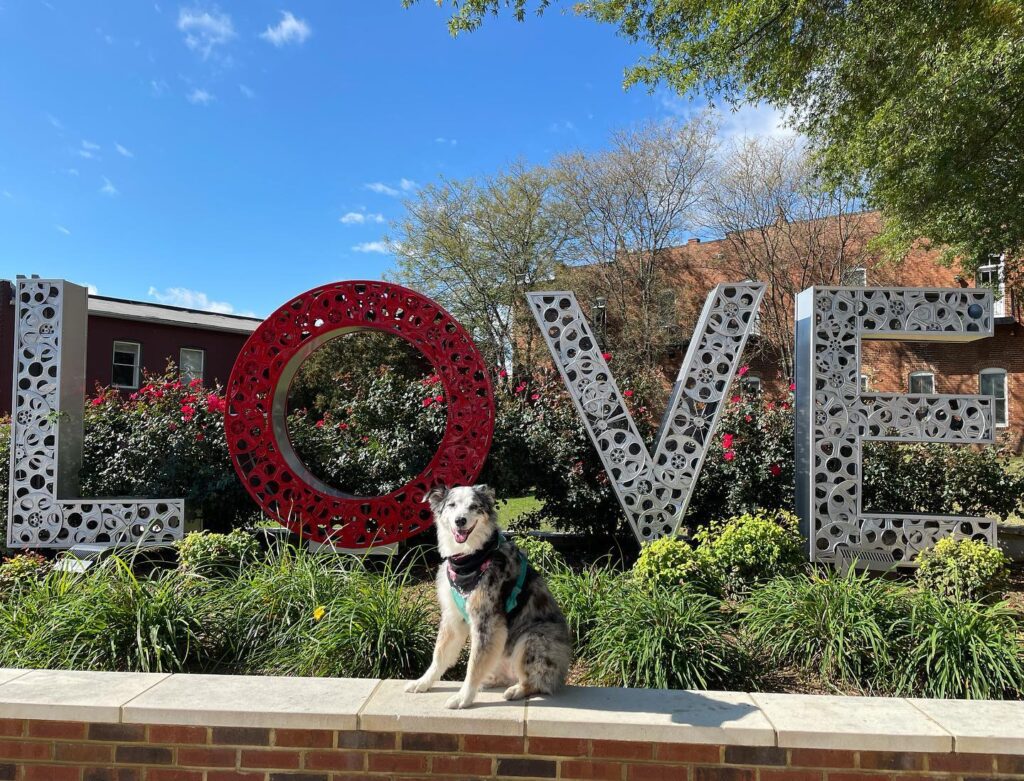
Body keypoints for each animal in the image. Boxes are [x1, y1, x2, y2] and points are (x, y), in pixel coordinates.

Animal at [403, 483, 573, 708]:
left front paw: (463, 697)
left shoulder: (486, 621)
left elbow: (473, 665)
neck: (468, 558)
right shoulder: (452, 618)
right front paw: (422, 683)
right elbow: (439, 655)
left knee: (537, 682)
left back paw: (516, 690)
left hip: (532, 638)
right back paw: (489, 682)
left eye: (474, 506)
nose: (460, 520)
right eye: (452, 505)